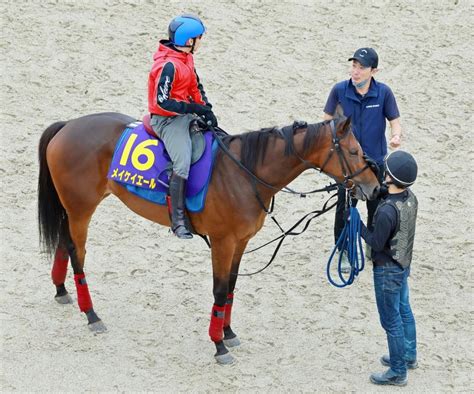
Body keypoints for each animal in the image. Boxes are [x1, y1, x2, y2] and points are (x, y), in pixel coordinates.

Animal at [37, 111, 380, 364]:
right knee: (76, 252)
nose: (375, 188)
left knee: (63, 243)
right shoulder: (222, 242)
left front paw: (228, 332)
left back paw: (61, 289)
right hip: (81, 209)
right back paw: (91, 314)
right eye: (354, 151)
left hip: (72, 209)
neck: (245, 172)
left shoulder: (241, 241)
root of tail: (68, 125)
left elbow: (231, 288)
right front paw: (219, 345)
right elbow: (219, 290)